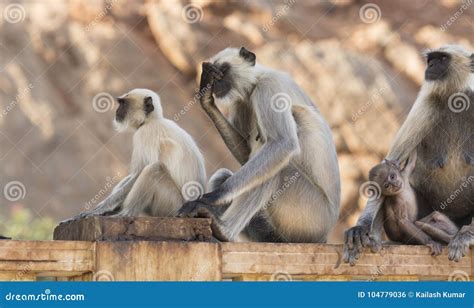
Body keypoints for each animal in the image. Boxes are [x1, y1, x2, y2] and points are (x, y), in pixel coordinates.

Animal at [65, 88, 207, 220]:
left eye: (123, 104)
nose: (117, 111)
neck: (150, 121)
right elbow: (133, 175)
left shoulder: (144, 133)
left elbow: (139, 172)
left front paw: (100, 210)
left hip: (173, 207)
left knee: (154, 169)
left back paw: (125, 214)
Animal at [177, 47, 336, 243]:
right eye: (213, 74)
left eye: (223, 71)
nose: (216, 85)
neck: (256, 82)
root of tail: (325, 234)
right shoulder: (241, 102)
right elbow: (247, 156)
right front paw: (206, 100)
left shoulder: (269, 87)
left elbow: (284, 144)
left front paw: (214, 197)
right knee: (227, 175)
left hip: (310, 217)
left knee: (279, 168)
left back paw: (223, 230)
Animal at [344, 44, 474, 264]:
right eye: (431, 58)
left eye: (442, 58)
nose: (430, 65)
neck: (456, 97)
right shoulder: (427, 105)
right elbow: (391, 162)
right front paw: (361, 228)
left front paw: (466, 235)